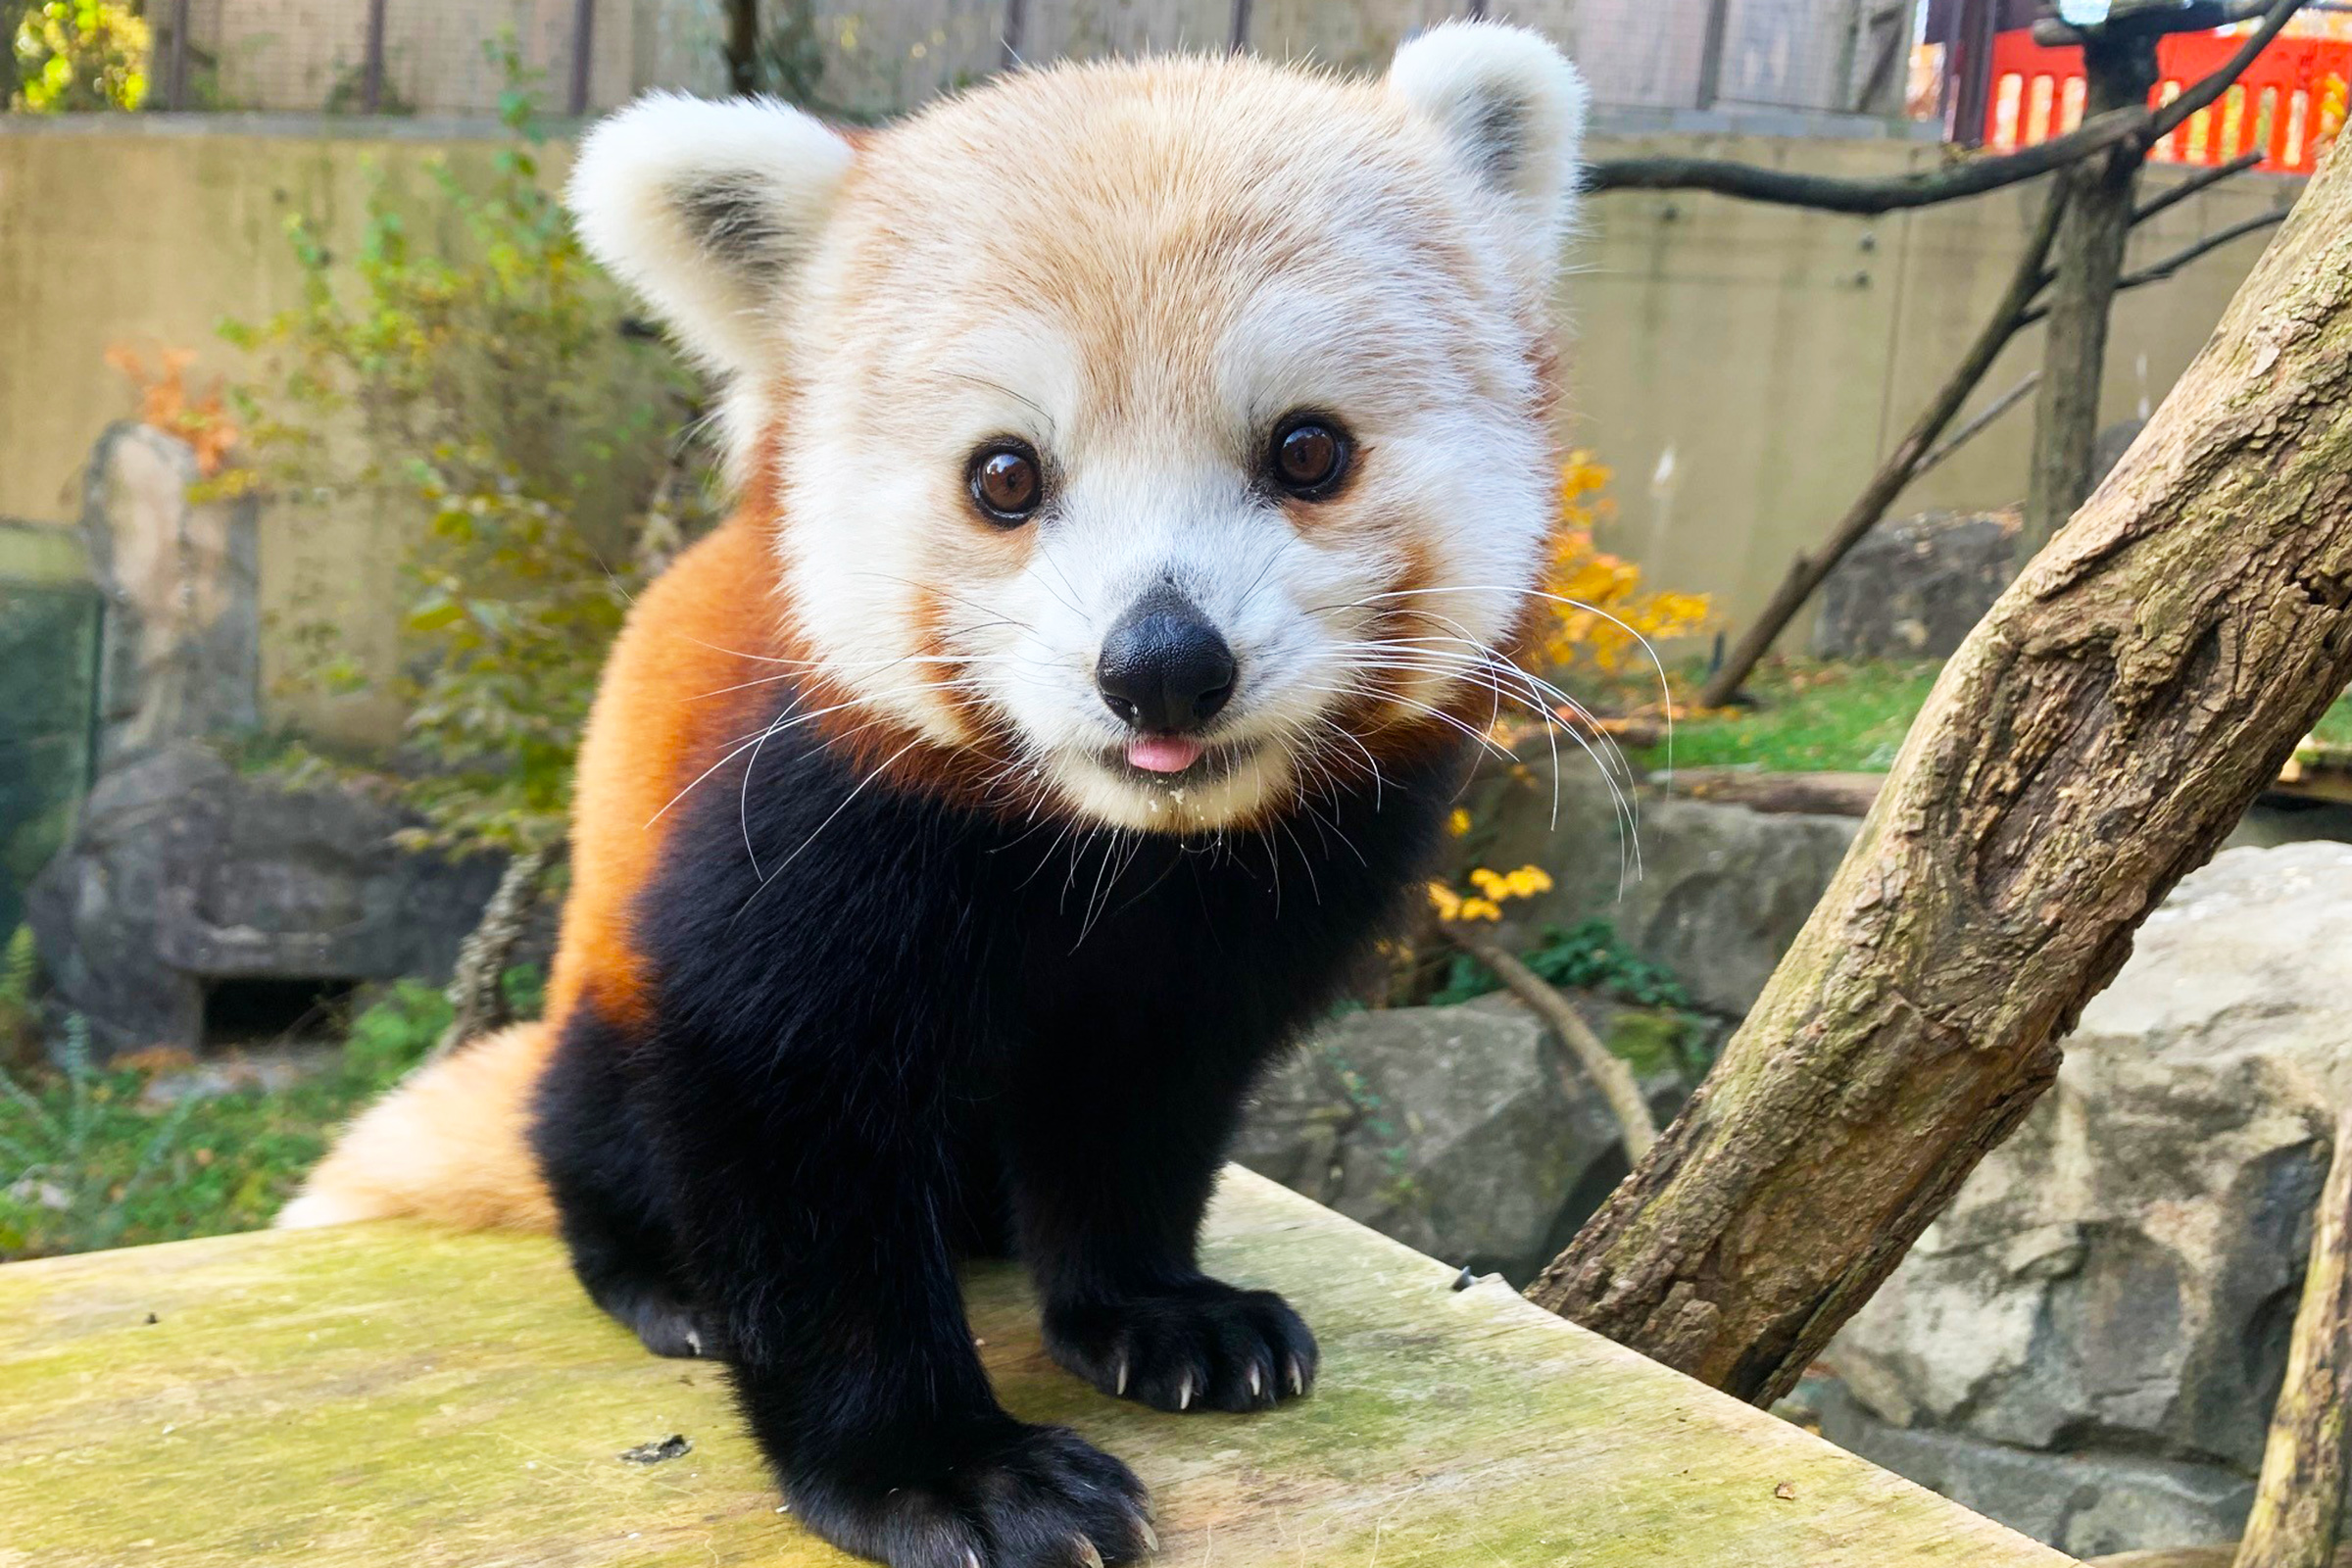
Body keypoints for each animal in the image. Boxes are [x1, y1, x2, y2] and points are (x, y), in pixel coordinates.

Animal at [284, 24, 1590, 1568]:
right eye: (1005, 477)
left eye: (1309, 450)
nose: (1162, 667)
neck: (1121, 850)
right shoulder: (804, 830)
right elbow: (782, 1119)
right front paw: (941, 1469)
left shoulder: (1249, 913)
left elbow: (1144, 1093)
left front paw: (1155, 1309)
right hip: (598, 978)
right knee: (586, 1114)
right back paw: (661, 1276)